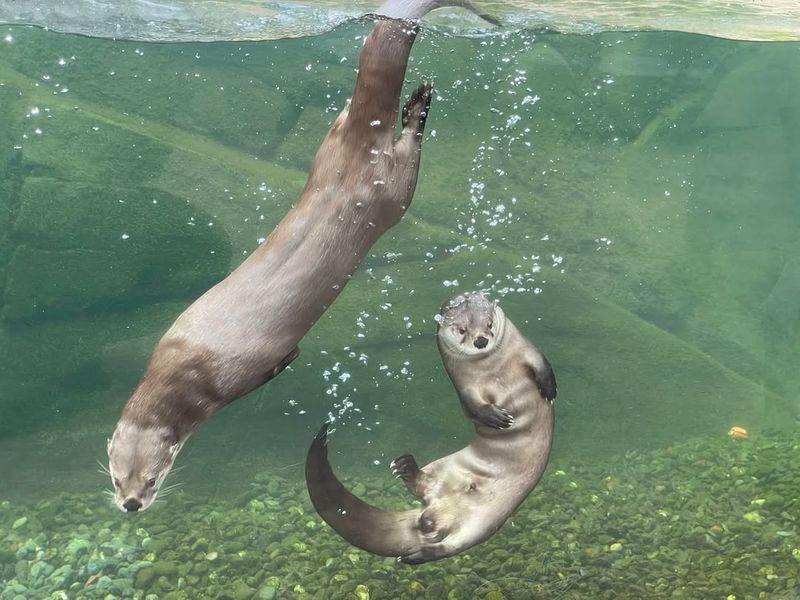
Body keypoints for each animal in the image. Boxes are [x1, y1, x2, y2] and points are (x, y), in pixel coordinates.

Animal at [305, 291, 556, 563]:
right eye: (462, 329)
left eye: (489, 324)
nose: (480, 341)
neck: (493, 368)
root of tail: (432, 515)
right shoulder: (463, 384)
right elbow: (471, 407)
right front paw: (494, 418)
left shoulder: (525, 349)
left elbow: (542, 364)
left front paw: (549, 389)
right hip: (458, 493)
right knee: (439, 531)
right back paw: (406, 476)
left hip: (483, 522)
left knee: (446, 541)